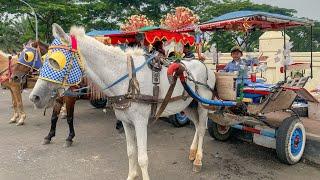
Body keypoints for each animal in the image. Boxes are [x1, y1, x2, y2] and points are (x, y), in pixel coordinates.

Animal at [29, 23, 215, 180]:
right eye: (44, 58)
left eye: (55, 61)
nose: (34, 97)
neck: (127, 79)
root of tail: (204, 64)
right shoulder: (126, 122)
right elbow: (131, 152)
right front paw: (131, 175)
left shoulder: (140, 122)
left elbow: (142, 158)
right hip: (188, 105)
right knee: (197, 126)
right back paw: (192, 153)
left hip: (202, 104)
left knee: (202, 128)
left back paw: (198, 160)